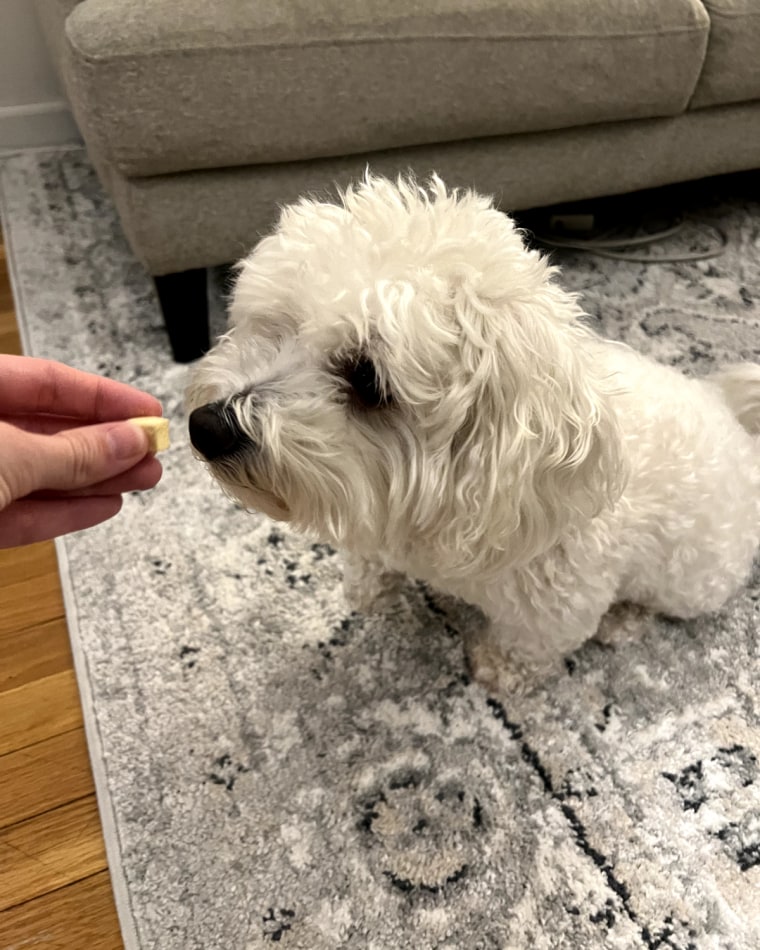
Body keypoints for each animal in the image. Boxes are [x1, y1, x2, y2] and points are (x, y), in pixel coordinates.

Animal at [187, 177, 760, 676]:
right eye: (280, 326)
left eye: (367, 378)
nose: (206, 427)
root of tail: (737, 425)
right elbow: (369, 567)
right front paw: (371, 587)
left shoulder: (553, 612)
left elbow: (523, 651)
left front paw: (495, 671)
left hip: (690, 582)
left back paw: (624, 620)